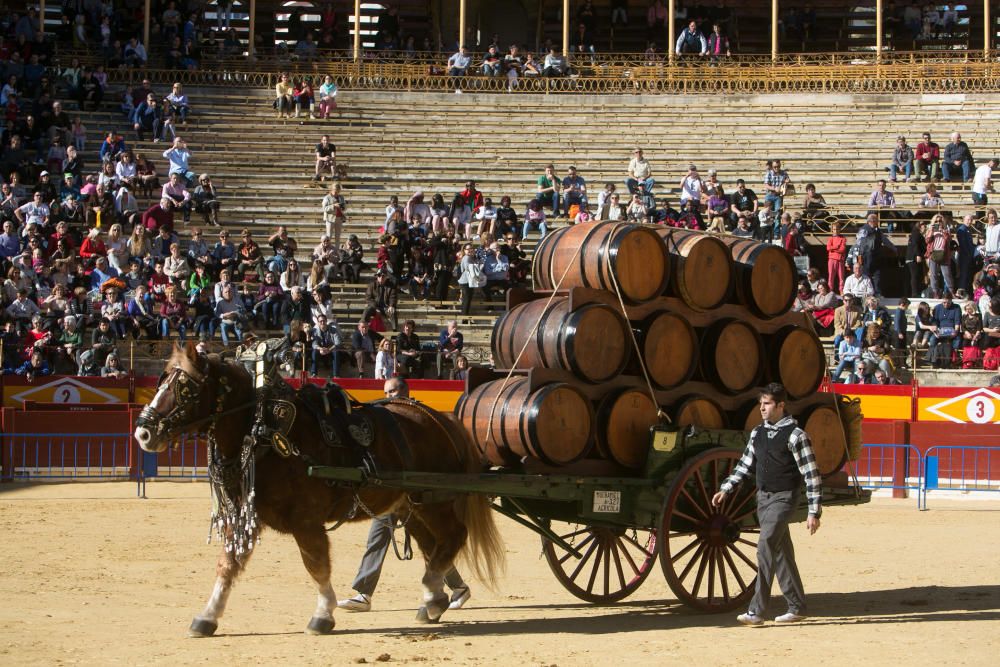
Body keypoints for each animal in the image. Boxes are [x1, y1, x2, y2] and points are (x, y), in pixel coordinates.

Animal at [133, 344, 504, 636]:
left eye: (186, 387)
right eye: (162, 380)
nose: (143, 432)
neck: (267, 434)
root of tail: (441, 420)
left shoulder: (306, 521)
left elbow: (316, 564)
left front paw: (323, 614)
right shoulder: (245, 517)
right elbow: (228, 565)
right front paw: (207, 616)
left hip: (433, 502)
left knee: (454, 535)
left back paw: (433, 591)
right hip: (410, 504)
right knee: (434, 545)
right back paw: (435, 599)